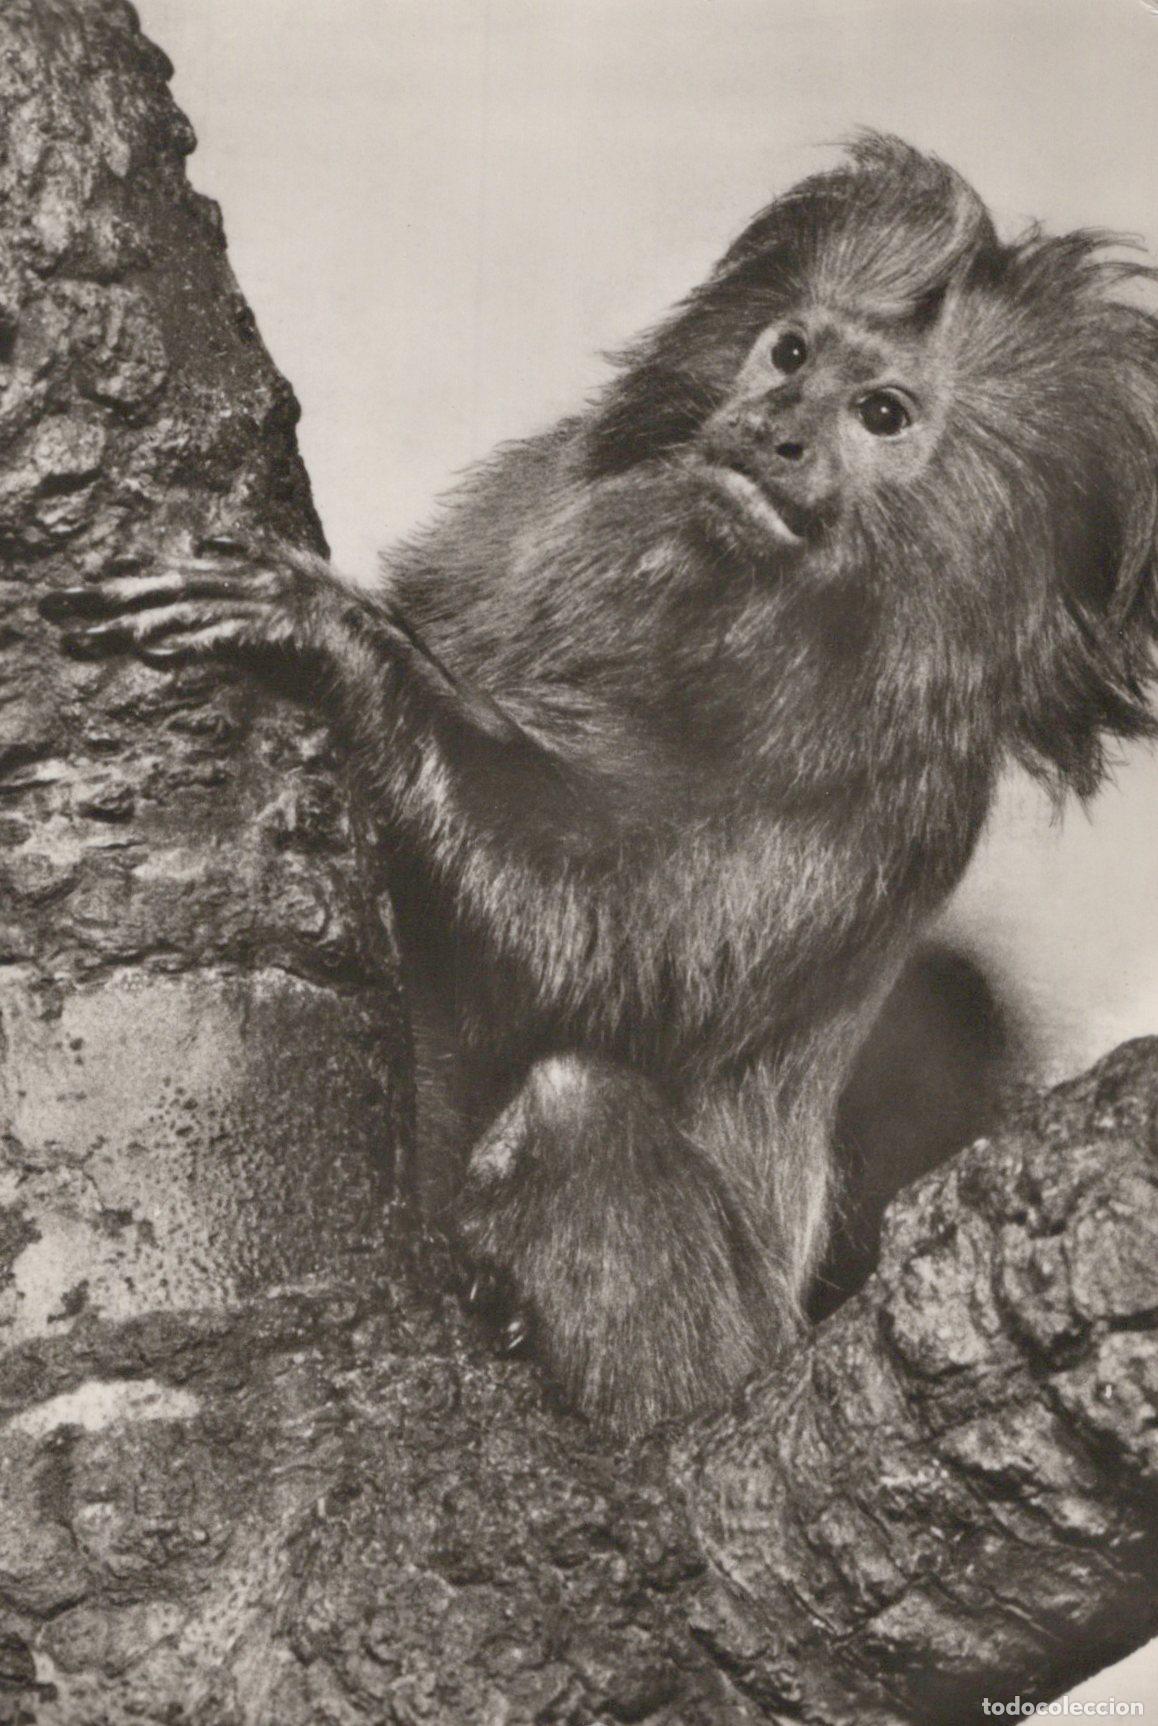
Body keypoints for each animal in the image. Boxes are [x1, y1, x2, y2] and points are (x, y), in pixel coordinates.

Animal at [41, 135, 1158, 1438]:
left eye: (881, 415)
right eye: (790, 353)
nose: (775, 428)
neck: (726, 610)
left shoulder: (899, 794)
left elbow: (621, 966)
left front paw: (351, 648)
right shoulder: (526, 516)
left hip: (731, 1351)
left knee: (581, 1107)